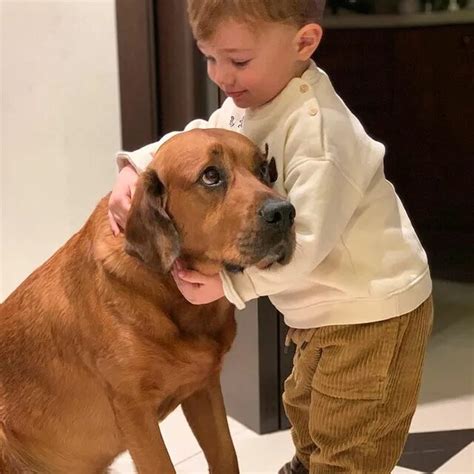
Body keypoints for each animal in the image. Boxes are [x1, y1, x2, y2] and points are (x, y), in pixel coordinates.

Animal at [0, 128, 296, 472]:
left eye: (264, 170)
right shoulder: (134, 411)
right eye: (211, 176)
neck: (167, 290)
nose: (285, 213)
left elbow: (225, 453)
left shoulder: (203, 386)